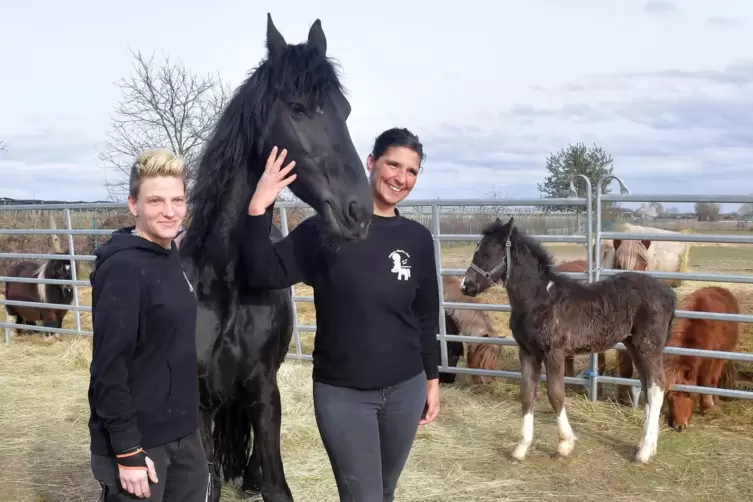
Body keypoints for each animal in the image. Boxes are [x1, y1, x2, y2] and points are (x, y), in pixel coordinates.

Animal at [179, 13, 374, 500]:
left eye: (344, 109)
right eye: (298, 108)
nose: (359, 212)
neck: (223, 281)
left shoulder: (264, 392)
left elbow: (276, 485)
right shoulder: (198, 400)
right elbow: (205, 482)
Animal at [458, 218, 676, 464]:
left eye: (487, 253)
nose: (466, 285)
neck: (539, 299)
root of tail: (668, 294)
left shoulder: (554, 353)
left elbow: (555, 394)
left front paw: (564, 444)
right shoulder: (527, 352)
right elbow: (527, 395)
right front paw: (521, 447)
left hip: (648, 346)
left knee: (657, 386)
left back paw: (645, 451)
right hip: (633, 346)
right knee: (648, 386)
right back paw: (646, 444)